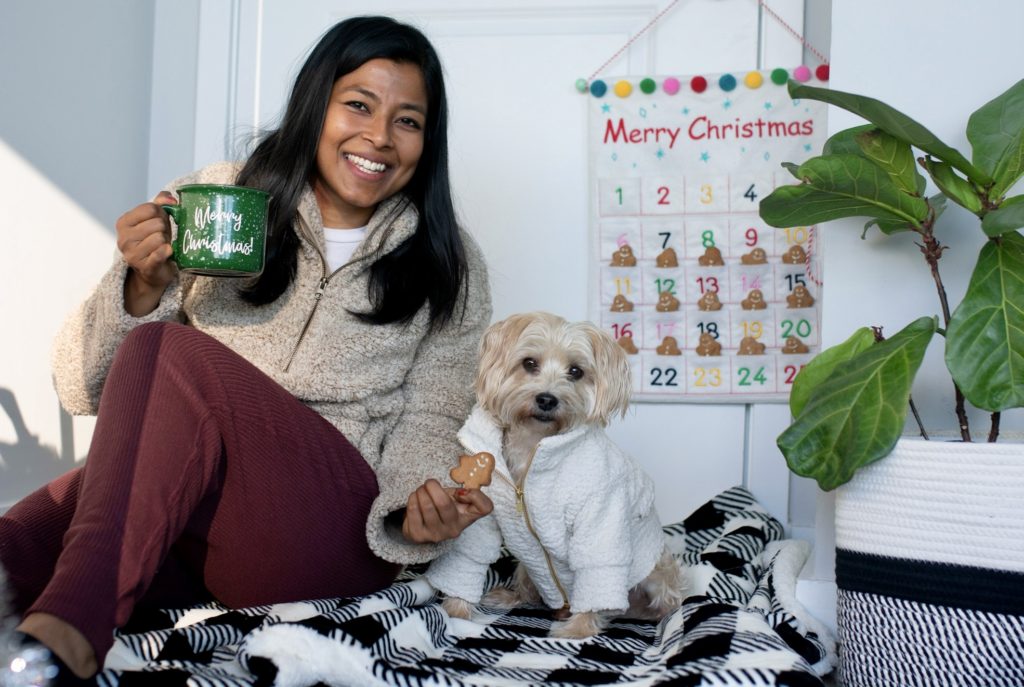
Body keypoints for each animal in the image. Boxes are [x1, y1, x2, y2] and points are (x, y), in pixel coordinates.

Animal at [428, 311, 684, 638]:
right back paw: (513, 597)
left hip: (655, 571)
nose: (547, 399)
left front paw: (579, 629)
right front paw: (456, 610)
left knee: (664, 598)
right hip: (527, 567)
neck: (535, 448)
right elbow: (470, 556)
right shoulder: (484, 515)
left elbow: (597, 566)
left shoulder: (601, 517)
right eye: (529, 363)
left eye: (576, 371)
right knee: (529, 590)